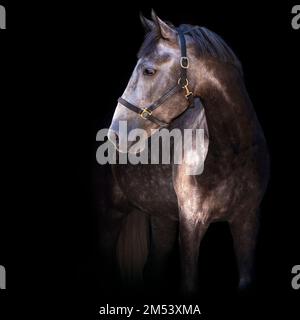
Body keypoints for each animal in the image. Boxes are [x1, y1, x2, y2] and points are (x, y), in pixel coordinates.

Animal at [103, 10, 270, 296]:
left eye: (148, 70)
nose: (116, 135)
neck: (231, 154)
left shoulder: (248, 221)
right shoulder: (191, 224)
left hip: (161, 219)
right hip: (111, 215)